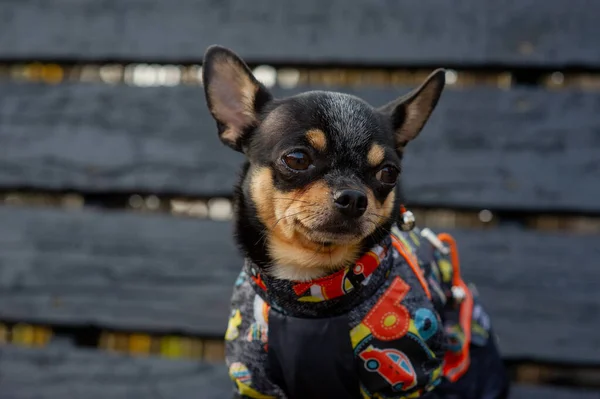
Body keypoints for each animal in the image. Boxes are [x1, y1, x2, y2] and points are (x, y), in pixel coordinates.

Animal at [204, 45, 508, 398]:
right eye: (297, 159)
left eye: (389, 172)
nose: (353, 197)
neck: (312, 293)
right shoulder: (256, 382)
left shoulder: (404, 379)